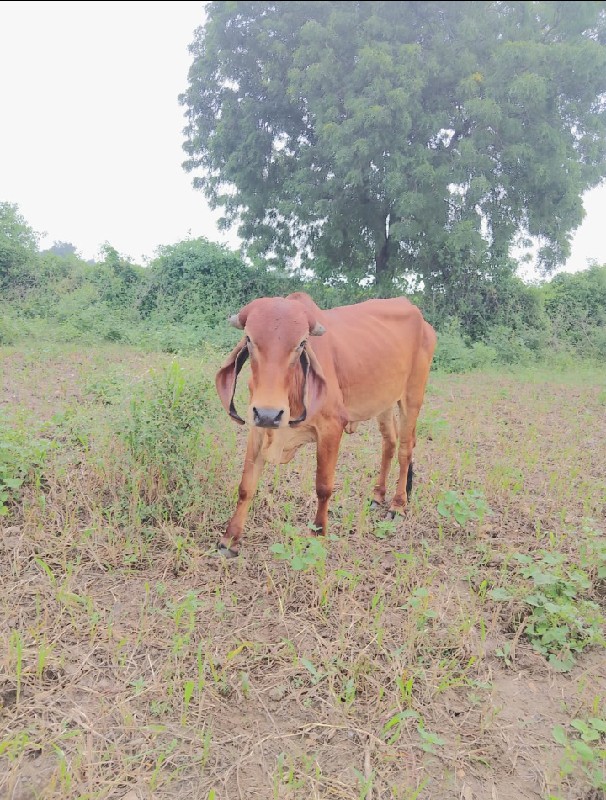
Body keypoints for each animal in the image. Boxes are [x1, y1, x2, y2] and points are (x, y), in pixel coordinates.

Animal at [216, 292, 440, 556]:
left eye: (302, 343)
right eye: (249, 339)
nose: (270, 414)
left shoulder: (331, 428)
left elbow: (323, 487)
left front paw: (318, 533)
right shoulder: (258, 425)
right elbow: (246, 486)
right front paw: (230, 539)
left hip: (412, 396)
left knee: (405, 449)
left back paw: (397, 505)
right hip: (384, 402)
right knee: (390, 443)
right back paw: (377, 496)